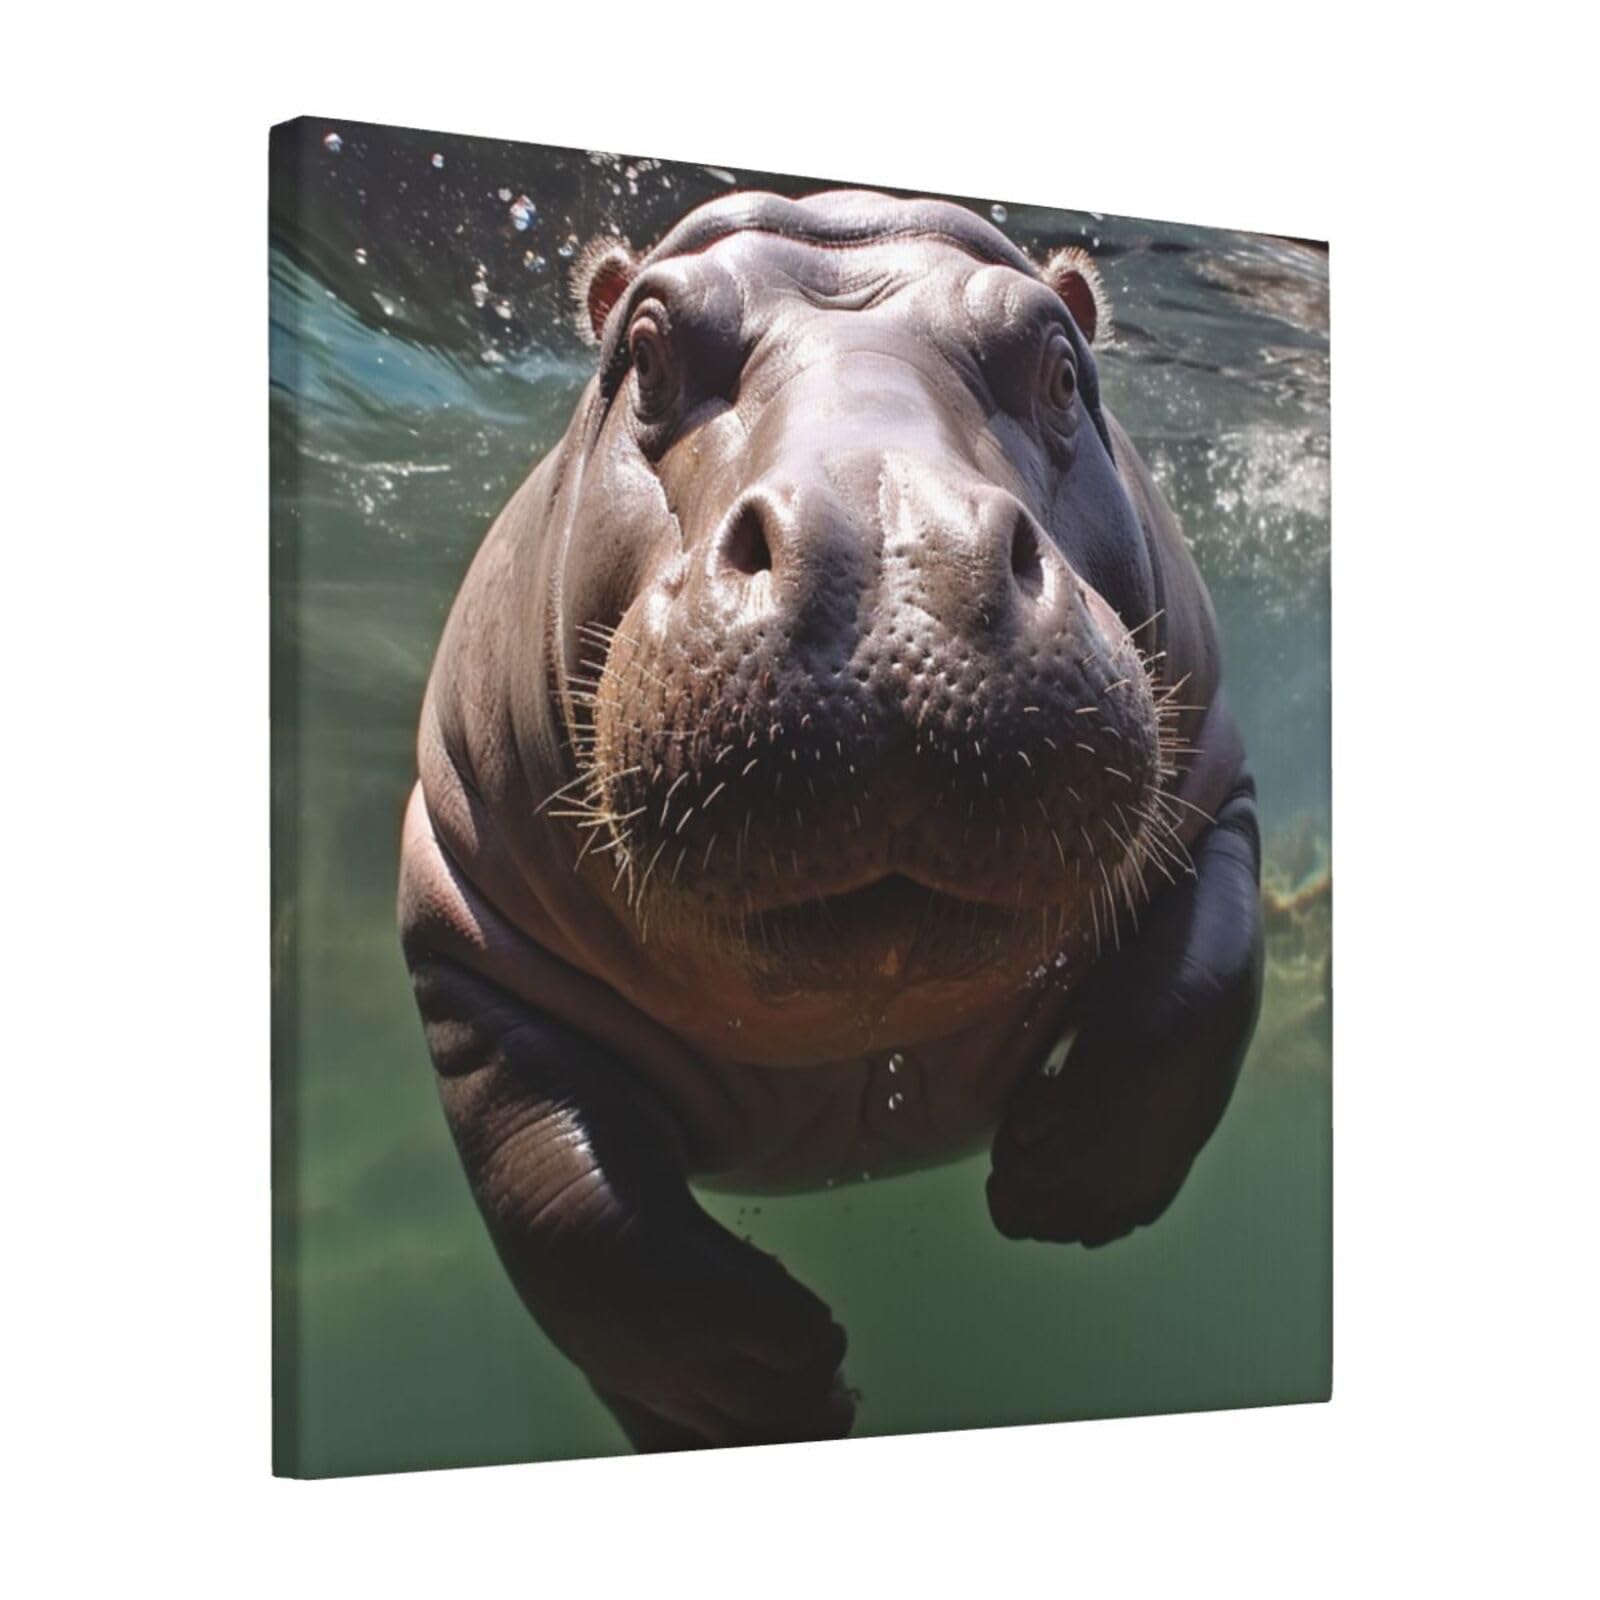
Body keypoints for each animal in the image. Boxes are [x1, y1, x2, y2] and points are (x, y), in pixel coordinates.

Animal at [398, 190, 1264, 1452]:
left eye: (1060, 367)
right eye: (645, 354)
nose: (891, 546)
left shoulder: (1215, 798)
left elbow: (1196, 992)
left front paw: (1060, 1182)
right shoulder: (459, 913)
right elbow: (560, 1192)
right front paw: (766, 1385)